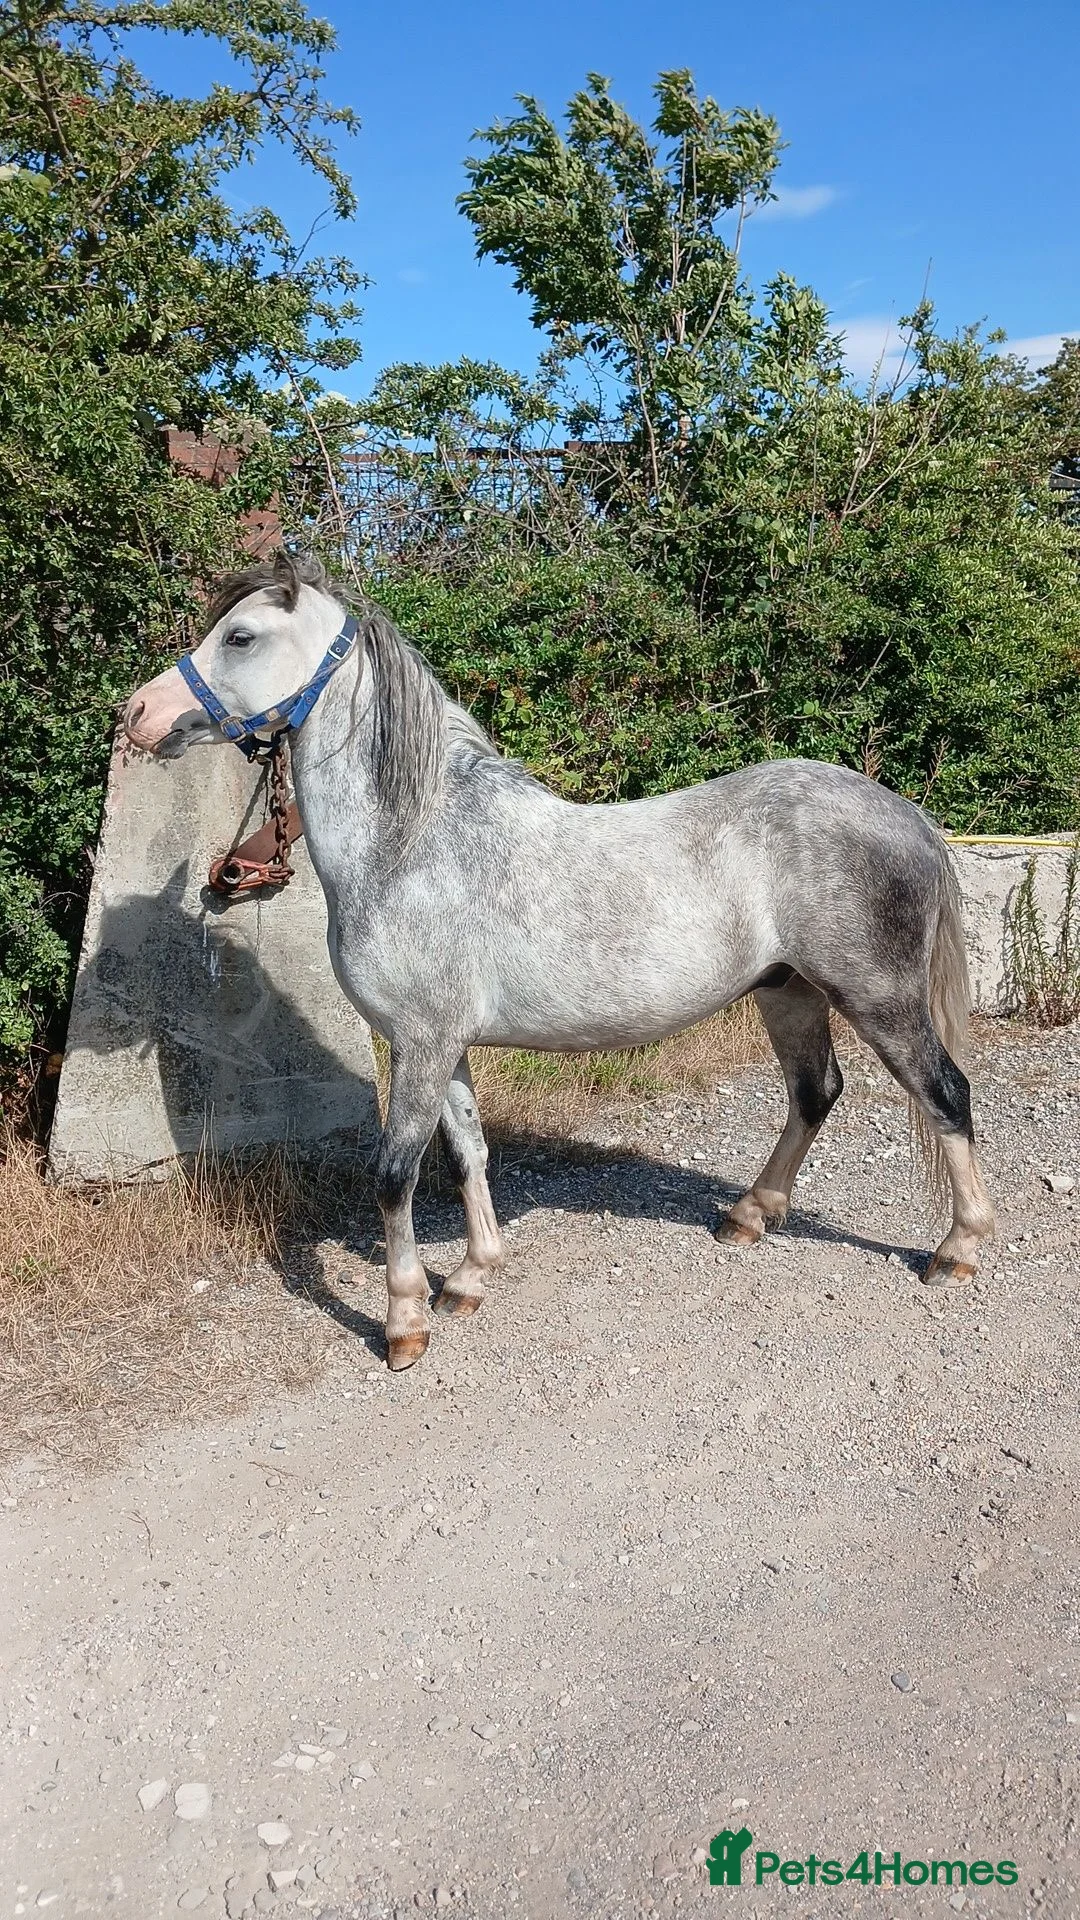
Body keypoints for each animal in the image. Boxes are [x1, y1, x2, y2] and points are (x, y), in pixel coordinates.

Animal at [124, 551, 995, 1370]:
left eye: (240, 637)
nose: (137, 713)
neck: (413, 842)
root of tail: (906, 813)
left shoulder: (421, 1043)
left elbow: (395, 1174)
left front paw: (405, 1324)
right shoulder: (443, 1047)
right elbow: (468, 1154)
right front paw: (471, 1278)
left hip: (878, 998)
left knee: (946, 1094)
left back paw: (956, 1251)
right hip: (789, 991)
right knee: (816, 1092)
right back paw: (748, 1216)